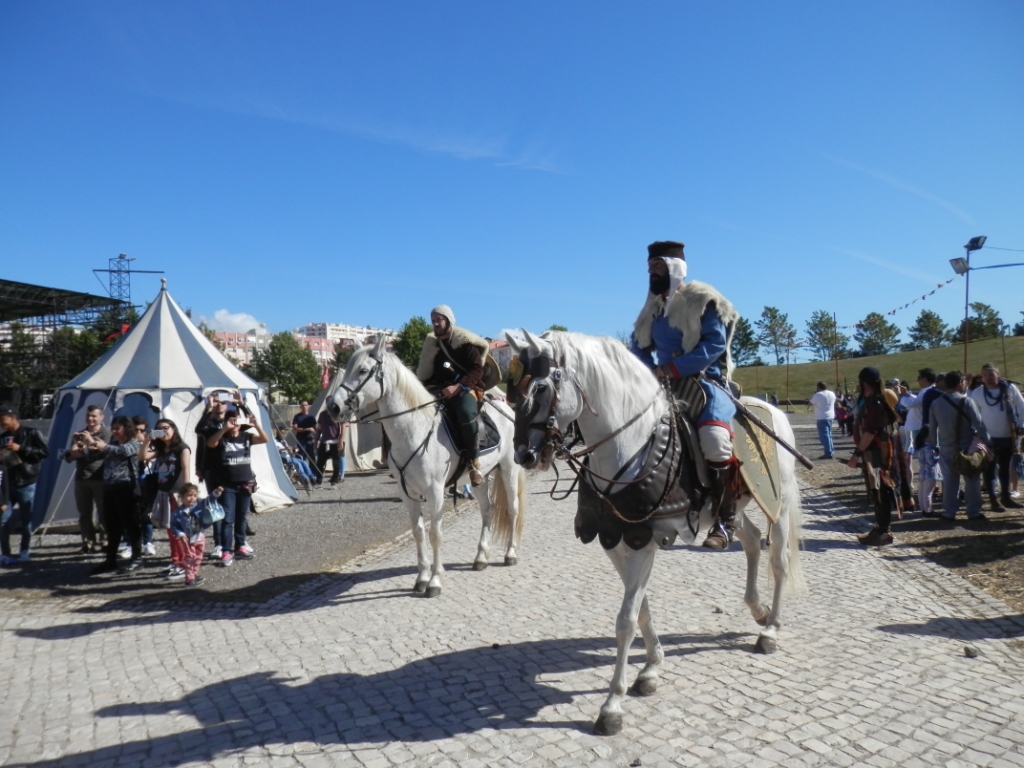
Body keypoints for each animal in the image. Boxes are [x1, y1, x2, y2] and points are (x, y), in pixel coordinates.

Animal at [326, 335, 526, 598]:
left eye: (363, 370)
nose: (333, 406)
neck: (413, 430)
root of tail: (507, 409)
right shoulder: (407, 493)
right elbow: (418, 532)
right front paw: (421, 578)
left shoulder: (435, 492)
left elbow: (435, 535)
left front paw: (434, 581)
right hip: (480, 478)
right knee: (487, 510)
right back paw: (481, 557)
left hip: (508, 469)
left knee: (512, 509)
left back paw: (511, 553)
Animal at [507, 329, 805, 735]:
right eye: (513, 390)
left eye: (539, 387)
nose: (523, 456)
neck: (629, 446)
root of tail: (771, 409)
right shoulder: (616, 541)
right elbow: (641, 610)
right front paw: (651, 668)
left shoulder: (643, 541)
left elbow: (626, 620)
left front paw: (612, 705)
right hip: (734, 508)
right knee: (750, 542)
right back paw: (756, 608)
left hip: (781, 501)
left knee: (778, 558)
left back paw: (771, 628)